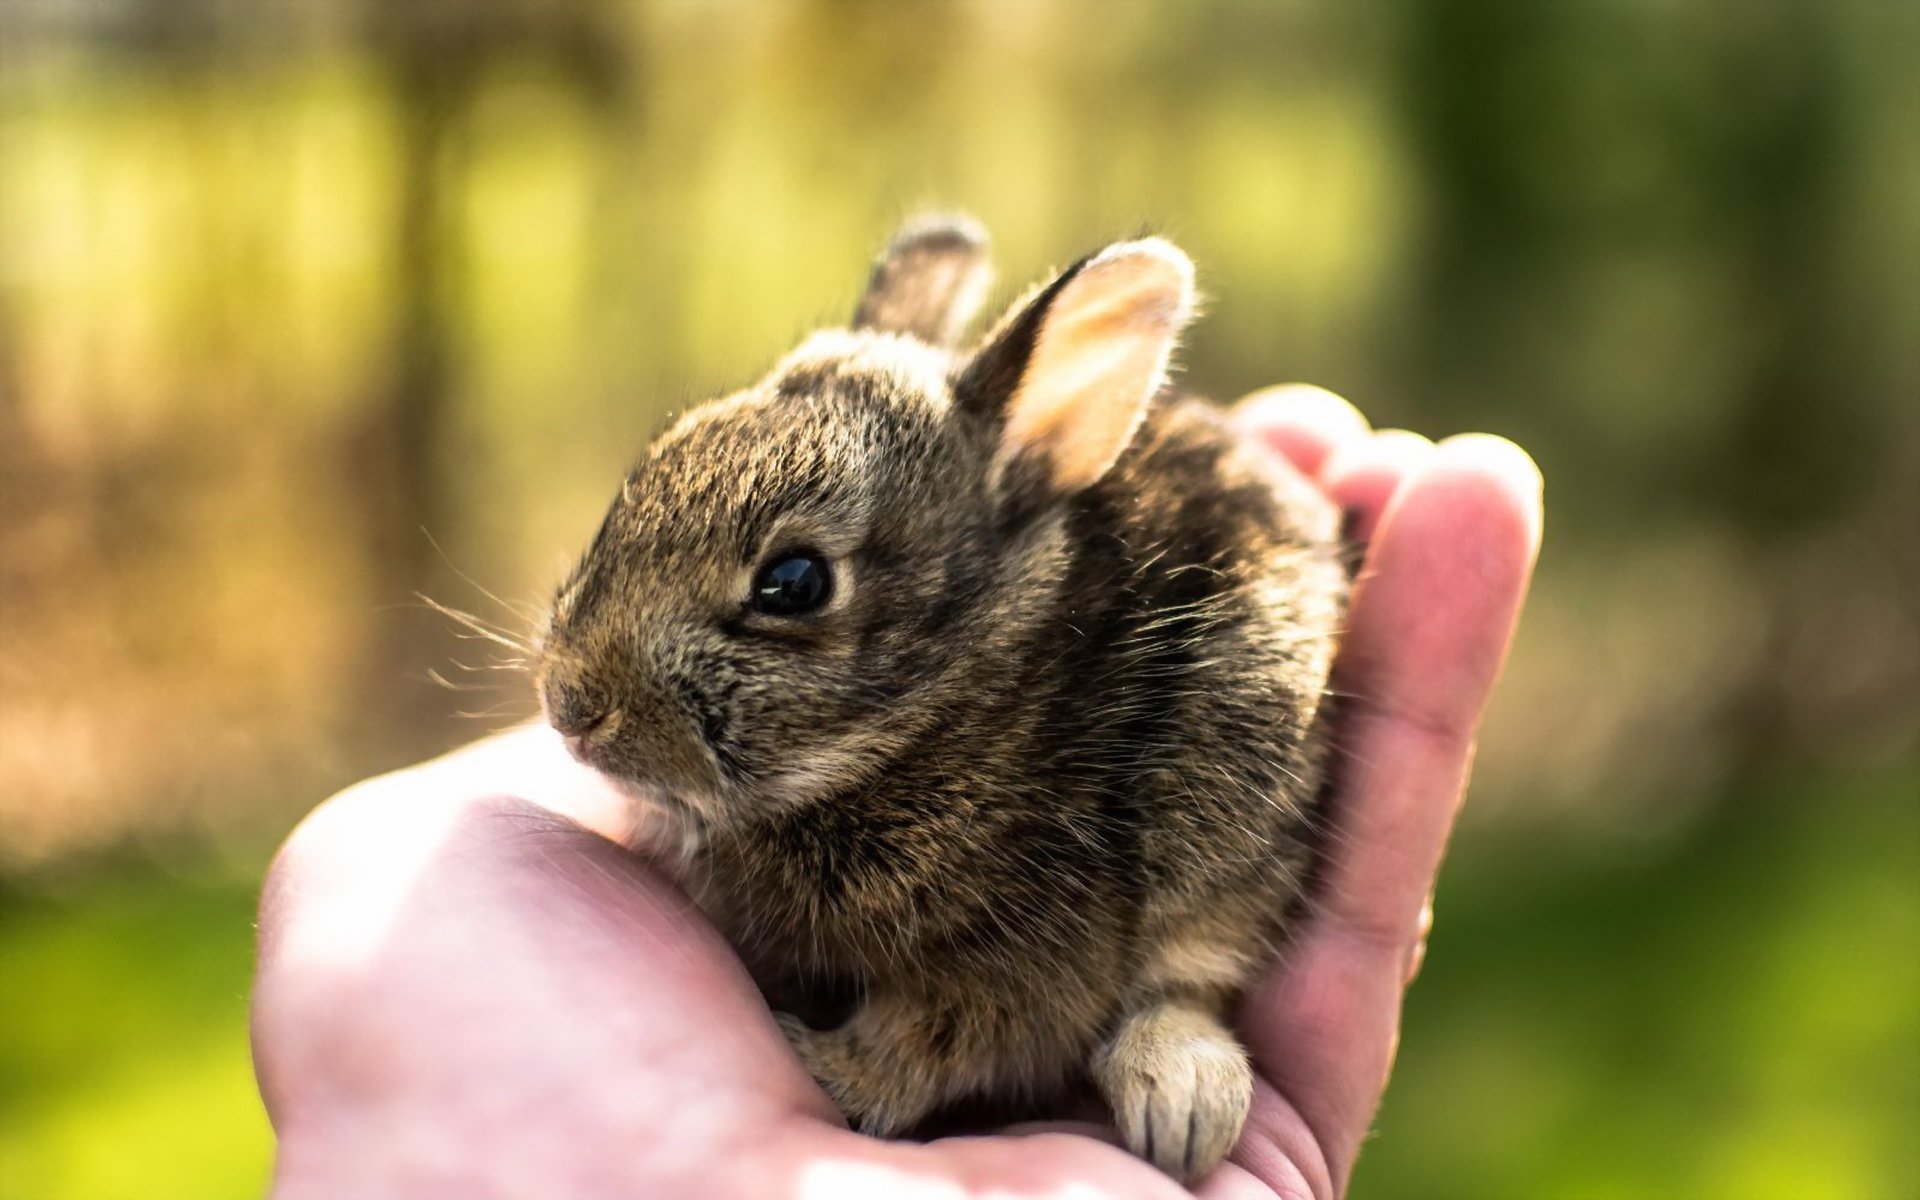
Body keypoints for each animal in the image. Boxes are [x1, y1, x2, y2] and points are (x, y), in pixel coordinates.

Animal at [537, 215, 1351, 1182]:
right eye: (638, 482)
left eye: (794, 583)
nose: (572, 706)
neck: (940, 706)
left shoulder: (1023, 955)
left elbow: (934, 1042)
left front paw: (819, 1061)